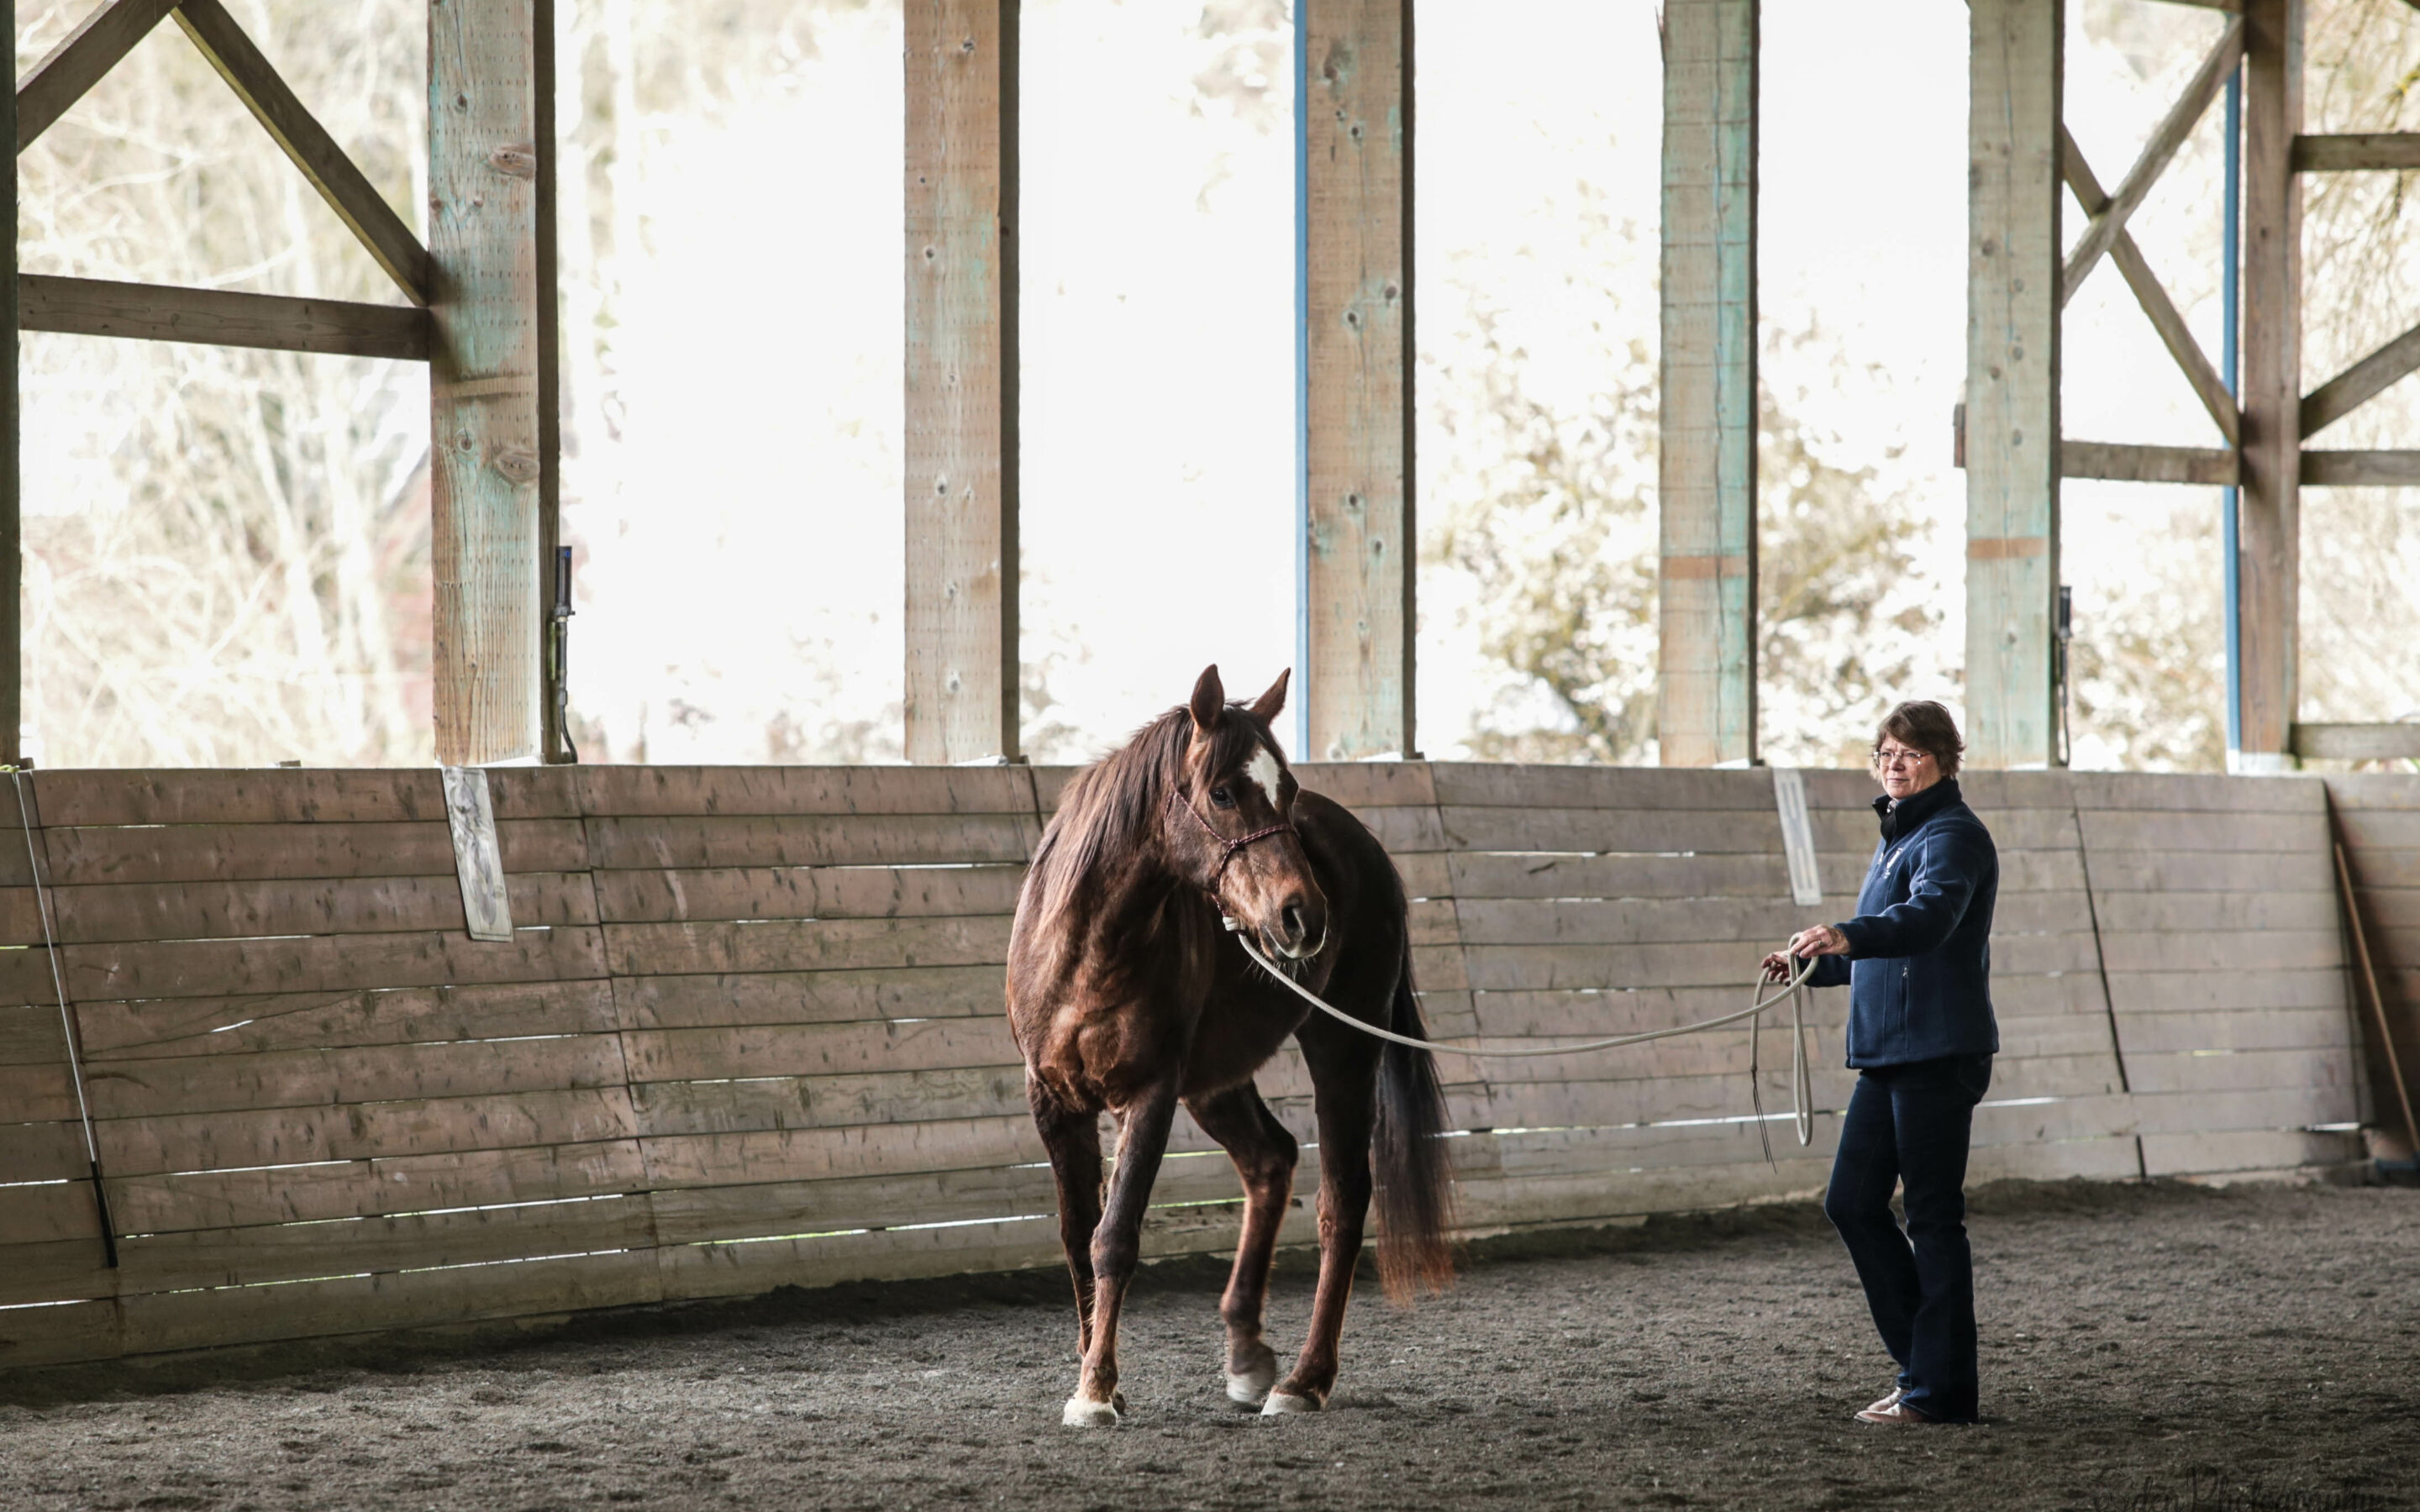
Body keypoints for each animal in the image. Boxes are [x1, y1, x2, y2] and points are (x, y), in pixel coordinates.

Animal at [1007, 667, 1452, 1422]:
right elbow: (1075, 1235)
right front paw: (1094, 1369)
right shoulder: (1054, 1102)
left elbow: (1113, 1238)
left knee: (1342, 1202)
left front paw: (1096, 1389)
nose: (1304, 917)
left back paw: (1303, 1380)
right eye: (1221, 792)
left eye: (1287, 789)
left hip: (1343, 1049)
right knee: (1270, 1160)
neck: (1086, 951)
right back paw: (1247, 1356)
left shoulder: (1150, 1095)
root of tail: (1366, 849)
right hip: (1216, 1081)